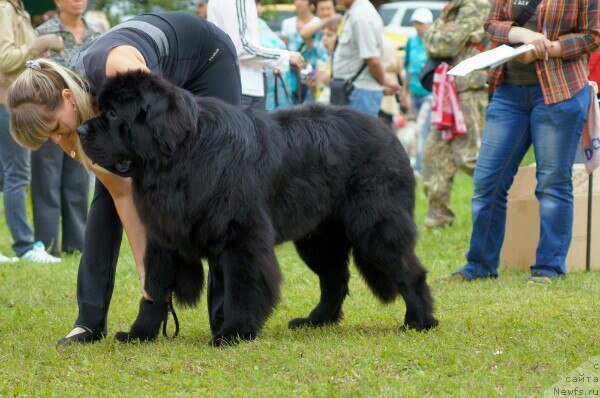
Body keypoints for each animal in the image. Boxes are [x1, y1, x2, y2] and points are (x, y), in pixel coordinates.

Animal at [77, 71, 438, 346]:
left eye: (113, 114)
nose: (80, 130)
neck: (181, 156)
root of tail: (391, 135)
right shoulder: (163, 236)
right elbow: (154, 289)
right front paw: (140, 333)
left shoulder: (242, 236)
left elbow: (244, 285)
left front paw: (234, 332)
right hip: (318, 238)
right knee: (335, 278)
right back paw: (317, 320)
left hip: (375, 226)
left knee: (408, 270)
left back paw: (420, 321)